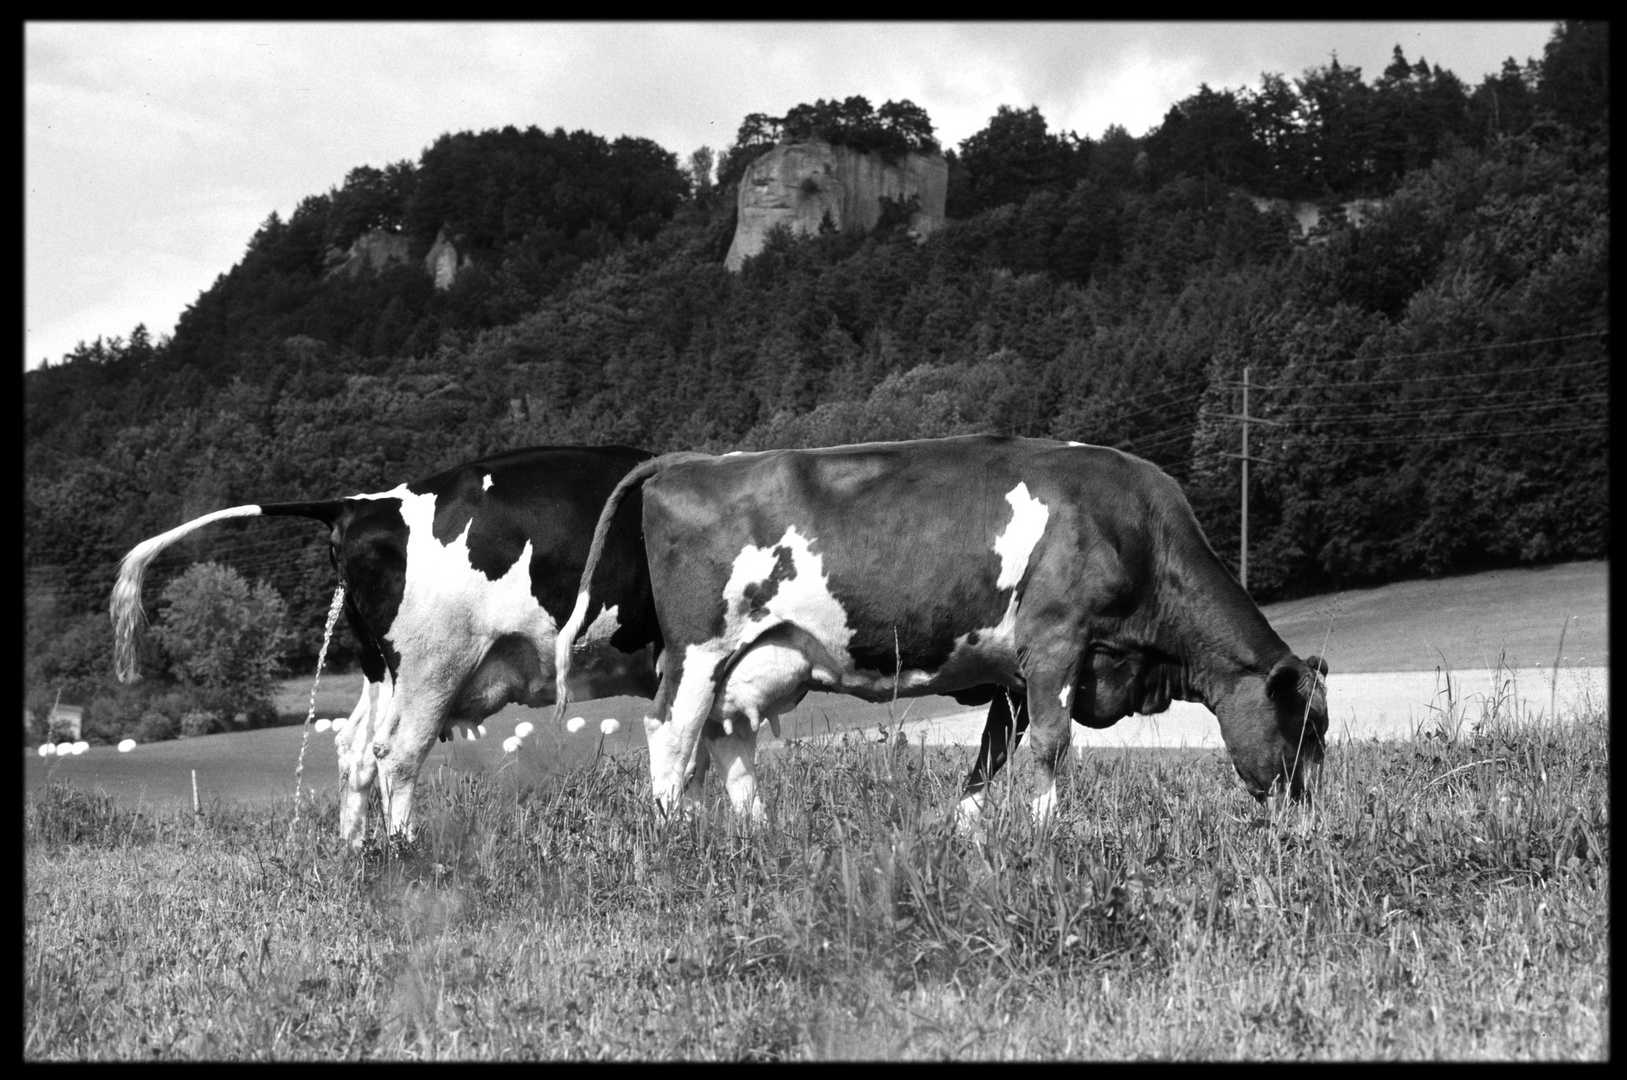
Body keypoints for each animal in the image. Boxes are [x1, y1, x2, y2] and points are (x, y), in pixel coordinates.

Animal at [109, 442, 660, 839]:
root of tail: (361, 505)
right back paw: (406, 850)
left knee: (354, 748)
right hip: (434, 665)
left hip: (384, 670)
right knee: (397, 754)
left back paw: (355, 849)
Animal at [553, 435, 1327, 823]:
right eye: (1306, 724)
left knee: (726, 743)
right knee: (672, 735)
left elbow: (990, 755)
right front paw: (1047, 831)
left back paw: (755, 836)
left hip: (750, 660)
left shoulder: (1014, 672)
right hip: (699, 648)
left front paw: (968, 830)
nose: (1309, 810)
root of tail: (692, 462)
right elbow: (1050, 747)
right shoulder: (1056, 640)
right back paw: (675, 835)